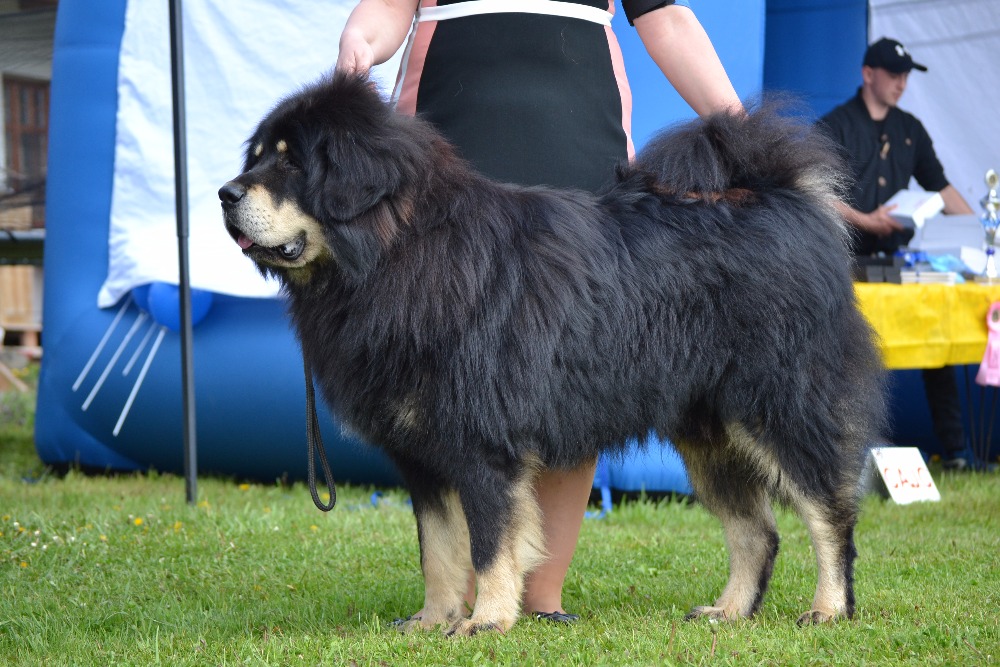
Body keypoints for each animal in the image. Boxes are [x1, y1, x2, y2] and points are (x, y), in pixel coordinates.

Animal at [219, 73, 884, 636]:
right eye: (257, 156)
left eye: (291, 161)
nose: (226, 194)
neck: (399, 254)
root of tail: (788, 199)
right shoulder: (424, 457)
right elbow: (439, 552)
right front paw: (433, 622)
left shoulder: (483, 446)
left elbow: (490, 544)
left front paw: (486, 621)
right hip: (710, 435)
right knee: (758, 533)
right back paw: (730, 611)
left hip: (782, 411)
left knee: (830, 517)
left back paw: (829, 609)